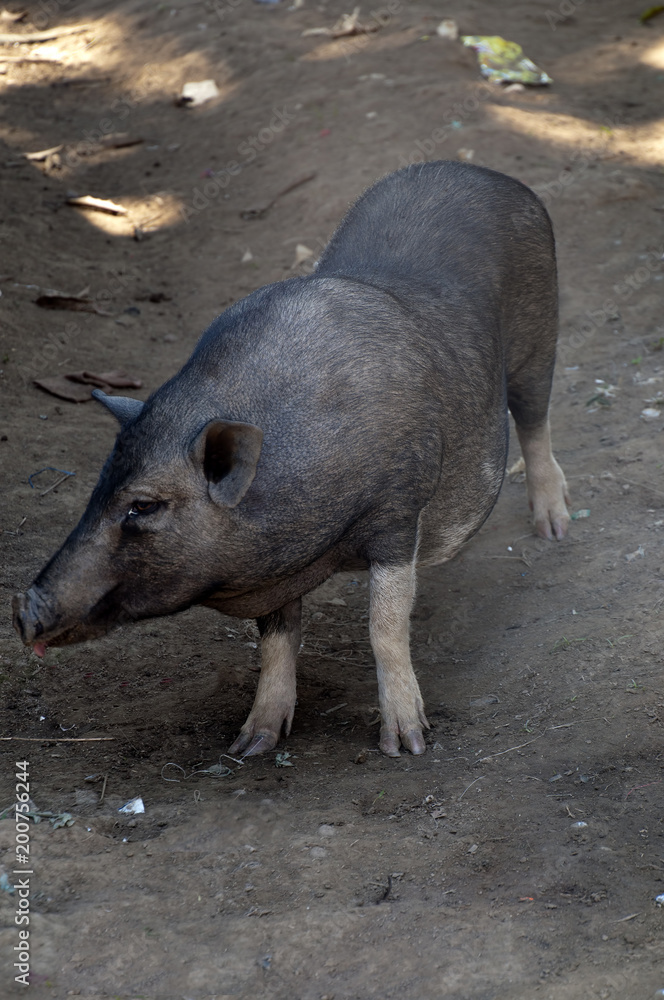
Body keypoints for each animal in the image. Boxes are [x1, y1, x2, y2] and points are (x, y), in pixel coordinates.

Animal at [13, 161, 570, 757]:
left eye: (144, 505)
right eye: (97, 488)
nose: (22, 610)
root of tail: (486, 172)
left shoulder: (399, 506)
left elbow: (385, 625)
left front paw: (407, 745)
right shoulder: (275, 567)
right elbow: (276, 642)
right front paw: (249, 746)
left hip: (541, 338)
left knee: (536, 421)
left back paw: (554, 529)